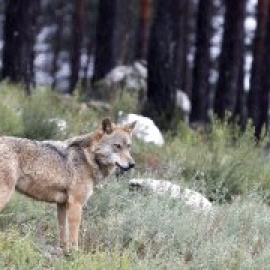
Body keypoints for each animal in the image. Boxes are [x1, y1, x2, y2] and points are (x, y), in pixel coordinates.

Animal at [0, 119, 136, 252]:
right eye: (117, 146)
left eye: (129, 147)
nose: (132, 164)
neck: (88, 157)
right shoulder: (76, 203)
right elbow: (73, 237)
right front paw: (75, 254)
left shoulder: (62, 204)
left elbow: (63, 234)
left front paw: (64, 253)